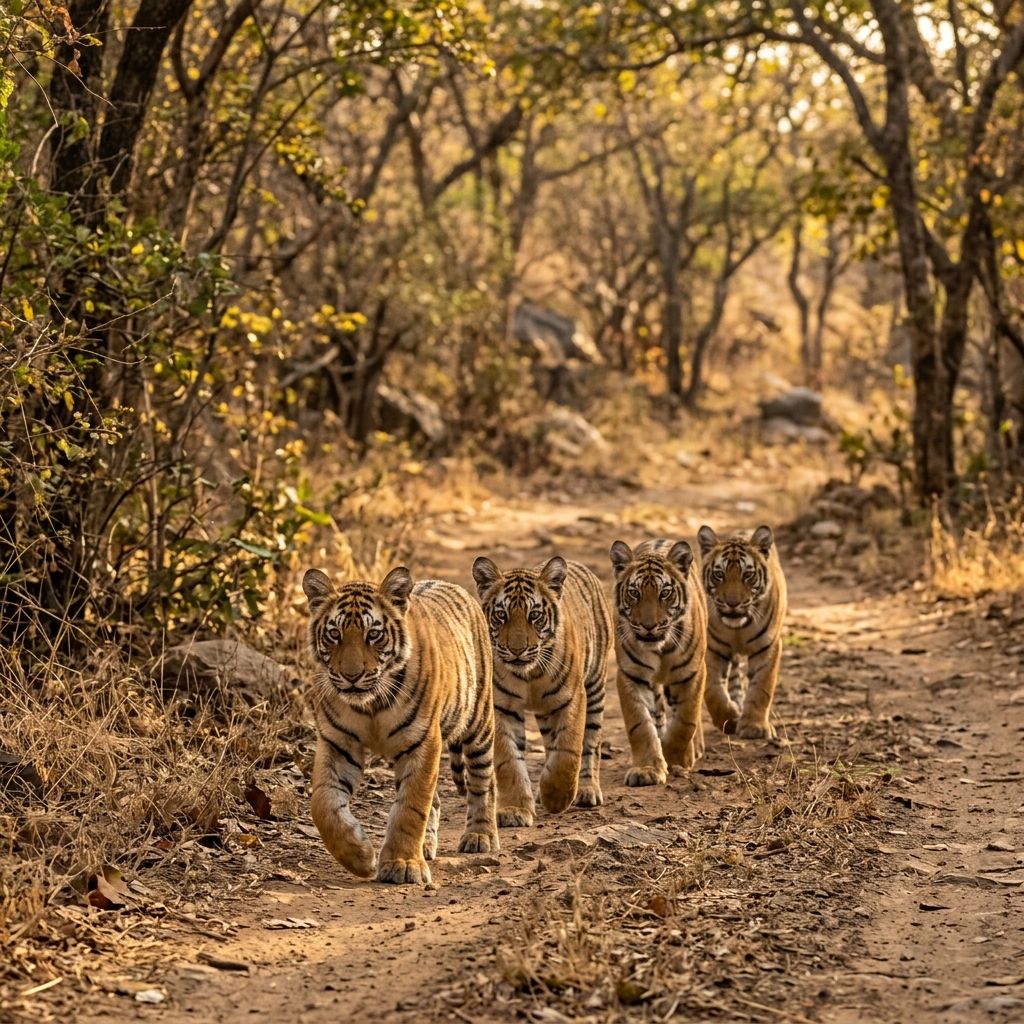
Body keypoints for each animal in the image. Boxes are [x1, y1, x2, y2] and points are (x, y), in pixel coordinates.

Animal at [302, 566, 498, 885]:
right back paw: (427, 845)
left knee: (484, 782)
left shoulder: (422, 741)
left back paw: (480, 836)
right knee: (437, 801)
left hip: (478, 723)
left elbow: (411, 807)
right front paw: (360, 857)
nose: (352, 676)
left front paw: (403, 865)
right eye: (334, 634)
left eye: (374, 634)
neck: (370, 705)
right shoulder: (337, 743)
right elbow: (323, 803)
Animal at [471, 556, 611, 825]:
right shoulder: (501, 708)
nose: (517, 650)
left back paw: (586, 790)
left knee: (590, 743)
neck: (530, 674)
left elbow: (568, 751)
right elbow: (509, 760)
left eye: (534, 615)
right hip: (546, 713)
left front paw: (557, 797)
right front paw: (514, 809)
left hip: (595, 687)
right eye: (501, 615)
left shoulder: (572, 699)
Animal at [609, 538, 707, 787]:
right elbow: (640, 724)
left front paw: (676, 758)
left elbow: (686, 719)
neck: (661, 648)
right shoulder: (631, 675)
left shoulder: (692, 673)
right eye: (634, 593)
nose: (649, 626)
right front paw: (647, 769)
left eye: (665, 593)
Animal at [697, 525, 787, 739]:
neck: (737, 629)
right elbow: (713, 689)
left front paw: (754, 726)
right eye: (719, 575)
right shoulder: (712, 648)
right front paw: (728, 719)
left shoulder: (768, 647)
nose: (732, 603)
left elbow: (761, 687)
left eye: (747, 575)